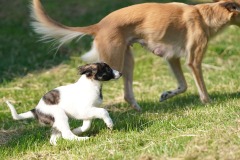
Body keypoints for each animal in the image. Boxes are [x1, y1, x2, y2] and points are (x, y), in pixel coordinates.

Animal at [30, 0, 240, 111]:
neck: (203, 15)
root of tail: (99, 25)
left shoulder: (172, 58)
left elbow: (183, 86)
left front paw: (166, 95)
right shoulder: (193, 60)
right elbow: (200, 87)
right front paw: (209, 102)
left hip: (127, 62)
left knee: (127, 94)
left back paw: (139, 110)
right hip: (112, 64)